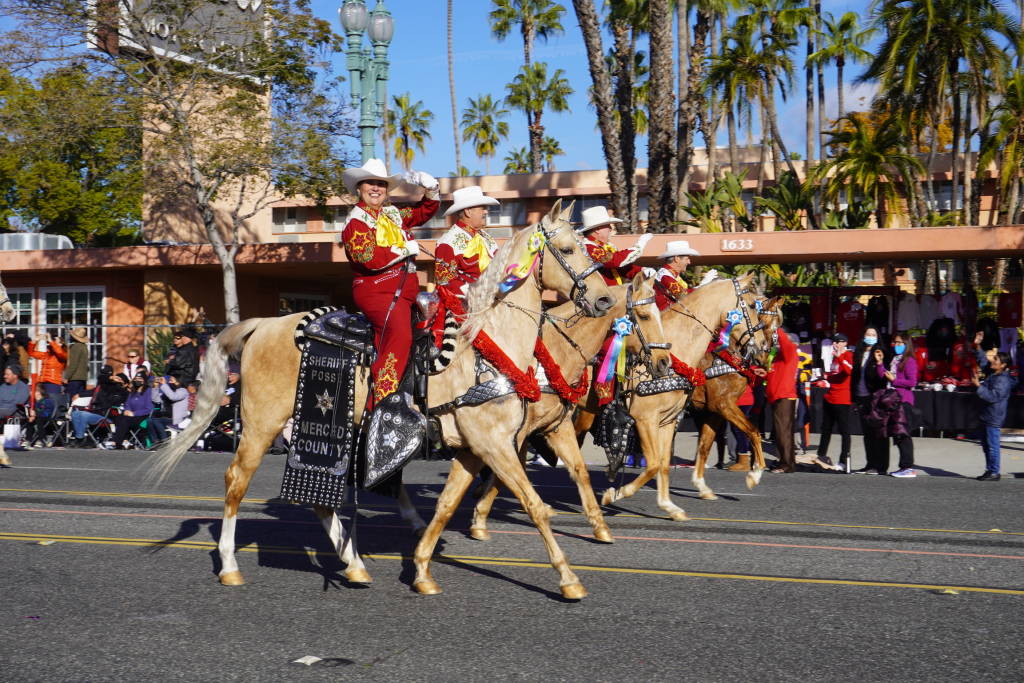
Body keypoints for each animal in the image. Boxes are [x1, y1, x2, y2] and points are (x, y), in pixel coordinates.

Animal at [149, 200, 614, 602]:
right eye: (568, 248)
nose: (604, 298)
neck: (486, 345)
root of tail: (263, 324)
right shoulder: (495, 444)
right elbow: (535, 507)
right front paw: (569, 579)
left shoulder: (476, 449)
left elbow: (447, 506)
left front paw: (422, 570)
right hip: (263, 424)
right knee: (236, 481)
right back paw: (230, 566)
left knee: (317, 499)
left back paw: (354, 565)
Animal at [417, 274, 671, 548]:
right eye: (644, 316)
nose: (664, 362)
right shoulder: (516, 434)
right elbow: (506, 474)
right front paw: (480, 520)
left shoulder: (554, 427)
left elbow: (579, 470)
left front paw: (600, 526)